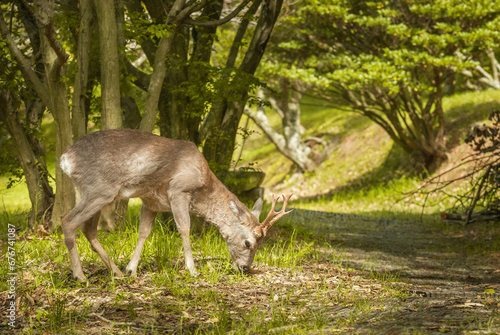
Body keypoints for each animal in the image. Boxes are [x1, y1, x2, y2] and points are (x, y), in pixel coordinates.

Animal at [59, 130, 292, 282]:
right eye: (248, 243)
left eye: (260, 245)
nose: (245, 268)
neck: (203, 185)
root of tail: (65, 159)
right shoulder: (178, 191)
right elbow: (185, 229)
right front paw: (192, 270)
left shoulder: (151, 202)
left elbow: (144, 232)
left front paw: (131, 269)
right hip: (99, 189)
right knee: (68, 221)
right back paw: (80, 276)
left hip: (98, 194)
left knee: (89, 230)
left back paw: (115, 272)